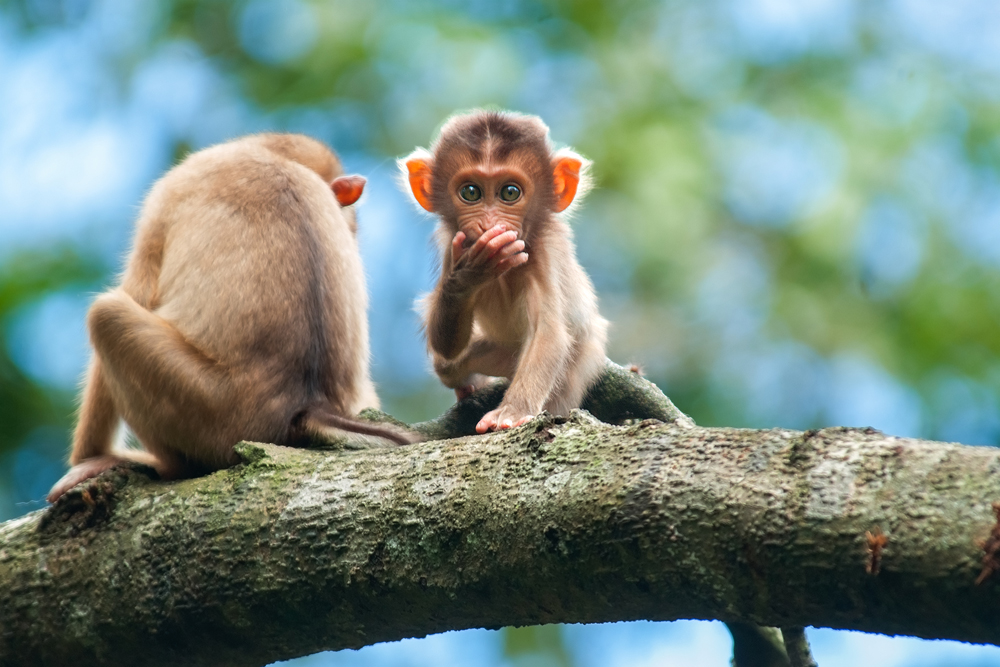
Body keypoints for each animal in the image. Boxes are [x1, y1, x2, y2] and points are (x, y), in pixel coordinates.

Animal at [48, 133, 417, 503]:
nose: (352, 232)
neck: (275, 155)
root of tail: (309, 403)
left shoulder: (171, 191)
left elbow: (138, 289)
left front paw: (87, 460)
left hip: (209, 411)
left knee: (106, 314)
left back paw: (159, 465)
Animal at [401, 110, 609, 434]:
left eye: (510, 192)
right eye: (470, 192)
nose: (488, 226)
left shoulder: (543, 253)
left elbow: (549, 333)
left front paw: (512, 411)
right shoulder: (452, 246)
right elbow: (445, 345)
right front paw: (469, 275)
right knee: (446, 364)